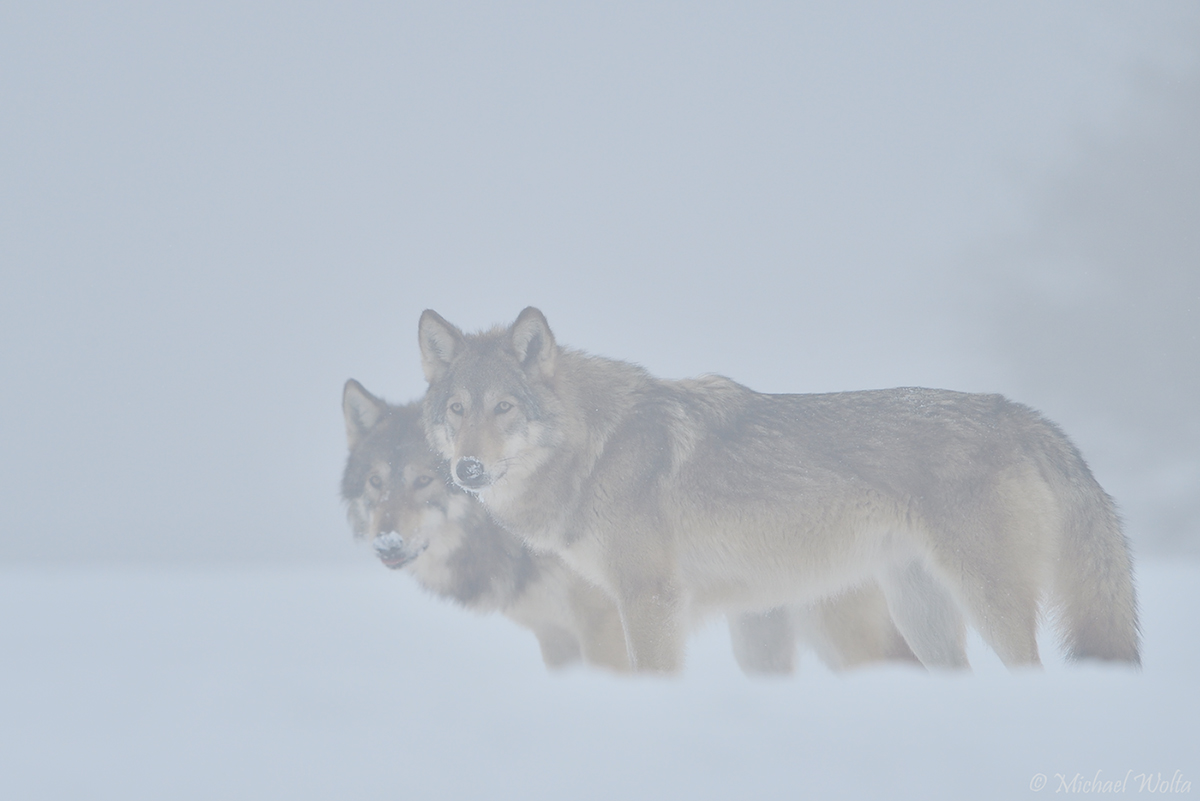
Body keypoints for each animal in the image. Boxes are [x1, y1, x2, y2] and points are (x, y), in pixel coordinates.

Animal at [422, 309, 1142, 671]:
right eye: (456, 409)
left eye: (504, 408)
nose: (468, 470)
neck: (597, 446)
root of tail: (1020, 414)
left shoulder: (650, 600)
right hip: (921, 610)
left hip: (985, 600)